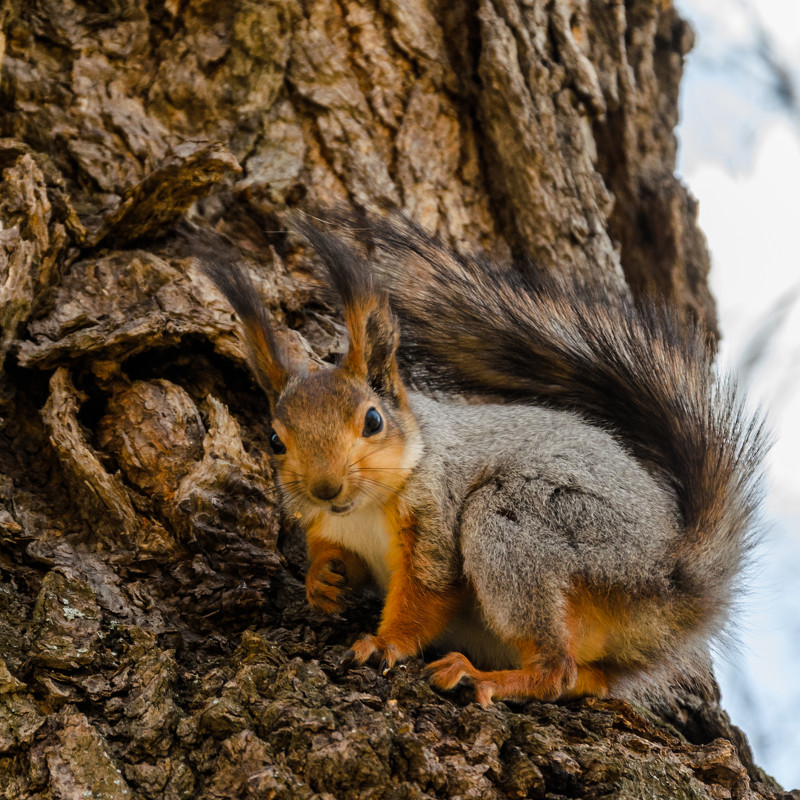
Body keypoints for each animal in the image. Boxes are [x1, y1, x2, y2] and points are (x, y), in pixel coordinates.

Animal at [189, 209, 768, 704]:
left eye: (372, 421)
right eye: (274, 440)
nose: (325, 488)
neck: (364, 509)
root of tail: (669, 582)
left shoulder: (435, 522)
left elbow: (427, 595)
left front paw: (386, 643)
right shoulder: (330, 526)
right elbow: (334, 558)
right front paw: (322, 580)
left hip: (534, 529)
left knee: (555, 667)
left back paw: (485, 676)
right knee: (590, 678)